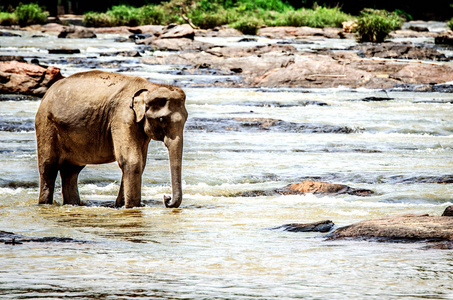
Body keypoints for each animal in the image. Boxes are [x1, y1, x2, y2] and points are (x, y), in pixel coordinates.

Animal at [34, 70, 187, 207]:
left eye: (186, 119)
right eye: (161, 119)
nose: (166, 198)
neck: (150, 87)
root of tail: (47, 94)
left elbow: (141, 162)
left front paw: (120, 205)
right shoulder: (121, 116)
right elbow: (132, 160)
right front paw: (132, 207)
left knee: (71, 170)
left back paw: (72, 204)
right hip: (46, 124)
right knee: (48, 167)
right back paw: (45, 204)